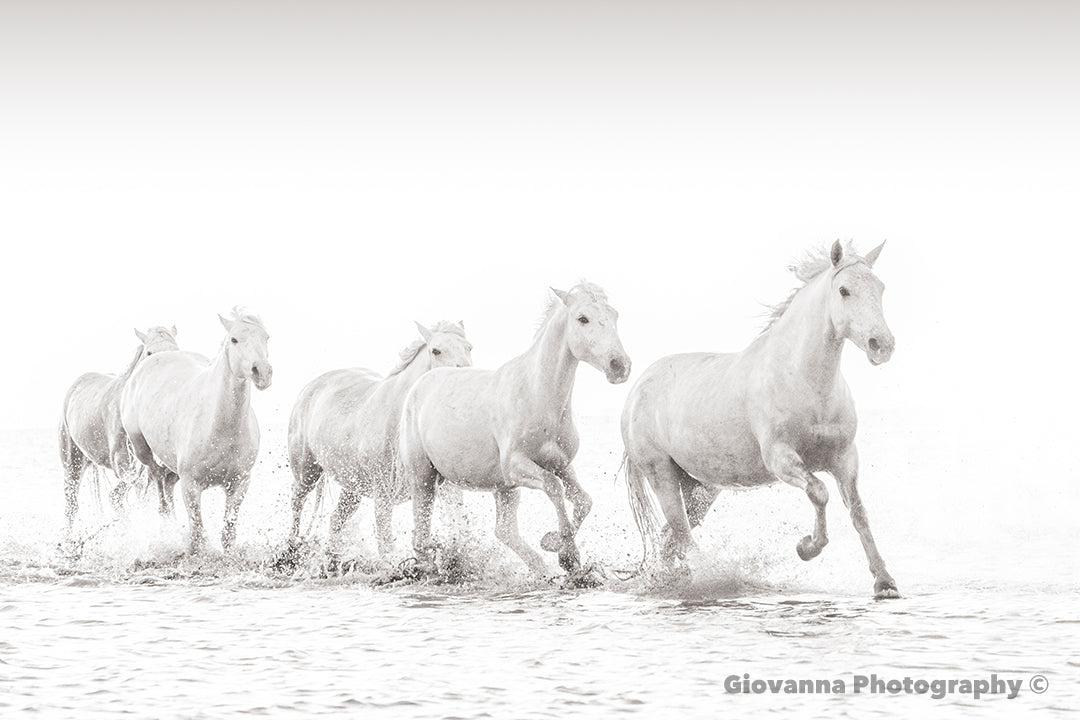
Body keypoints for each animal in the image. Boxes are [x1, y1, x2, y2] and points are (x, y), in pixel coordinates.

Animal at [58, 325, 179, 528]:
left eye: (176, 350)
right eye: (149, 352)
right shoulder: (121, 461)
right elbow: (122, 495)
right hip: (72, 463)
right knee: (71, 507)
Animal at [120, 308, 272, 552]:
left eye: (266, 337)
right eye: (234, 339)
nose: (262, 372)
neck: (221, 426)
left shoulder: (240, 482)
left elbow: (228, 533)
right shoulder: (191, 485)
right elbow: (198, 534)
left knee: (167, 483)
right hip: (142, 450)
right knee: (158, 481)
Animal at [287, 321, 473, 561]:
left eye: (469, 347)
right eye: (436, 351)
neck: (402, 418)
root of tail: (309, 388)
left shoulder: (446, 489)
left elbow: (460, 527)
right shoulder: (383, 492)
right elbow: (386, 543)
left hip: (352, 488)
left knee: (335, 519)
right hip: (307, 472)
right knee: (297, 503)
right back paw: (290, 549)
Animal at [401, 280, 630, 578]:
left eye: (614, 315)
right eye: (583, 318)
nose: (620, 366)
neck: (538, 395)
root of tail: (421, 384)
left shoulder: (561, 464)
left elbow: (583, 500)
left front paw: (554, 543)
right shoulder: (516, 465)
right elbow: (554, 487)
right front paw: (567, 555)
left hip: (502, 487)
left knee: (504, 531)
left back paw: (540, 569)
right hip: (424, 476)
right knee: (420, 528)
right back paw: (428, 568)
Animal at [622, 241, 898, 595]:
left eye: (881, 288)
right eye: (844, 290)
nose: (882, 345)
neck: (805, 381)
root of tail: (636, 389)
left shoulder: (845, 458)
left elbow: (859, 512)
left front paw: (885, 581)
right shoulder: (780, 458)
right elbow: (819, 492)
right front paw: (807, 547)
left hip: (700, 489)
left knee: (670, 537)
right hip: (661, 475)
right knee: (682, 536)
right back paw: (706, 577)